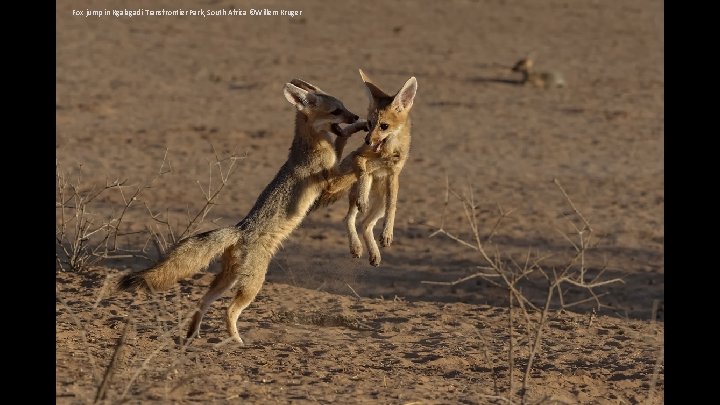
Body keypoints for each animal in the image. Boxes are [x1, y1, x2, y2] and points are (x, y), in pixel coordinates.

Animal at [117, 79, 360, 344]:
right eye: (337, 111)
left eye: (345, 106)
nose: (356, 115)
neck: (312, 142)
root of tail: (239, 230)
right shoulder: (328, 185)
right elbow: (350, 169)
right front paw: (365, 157)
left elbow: (342, 145)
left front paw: (357, 131)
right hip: (253, 284)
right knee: (229, 310)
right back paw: (237, 341)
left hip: (228, 280)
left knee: (202, 302)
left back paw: (193, 335)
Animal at [316, 68, 416, 266]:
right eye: (370, 123)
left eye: (384, 126)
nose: (368, 140)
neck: (387, 150)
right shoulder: (358, 156)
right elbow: (363, 170)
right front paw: (363, 196)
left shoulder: (393, 176)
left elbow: (392, 207)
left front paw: (387, 233)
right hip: (355, 189)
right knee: (348, 218)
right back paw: (356, 246)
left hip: (380, 203)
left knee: (365, 224)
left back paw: (374, 254)